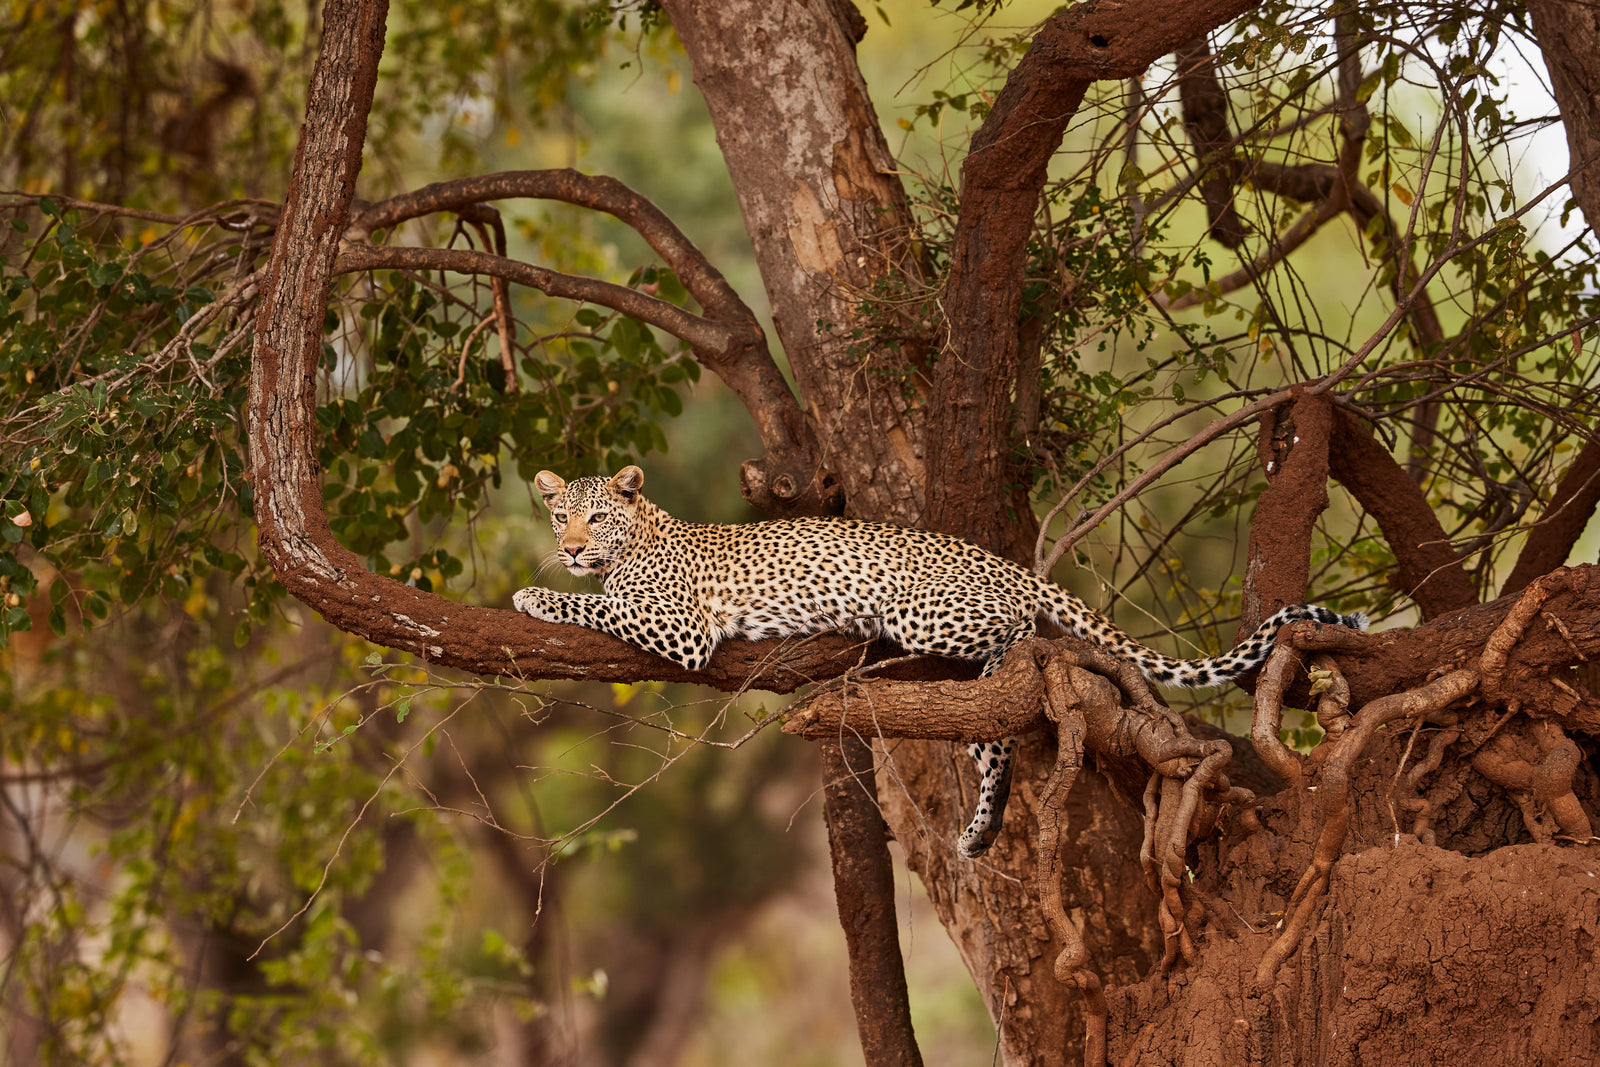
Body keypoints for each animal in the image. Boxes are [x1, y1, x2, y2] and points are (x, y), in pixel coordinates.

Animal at [512, 465, 1369, 858]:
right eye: (559, 515)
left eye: (598, 516)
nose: (572, 547)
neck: (646, 529)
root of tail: (998, 557)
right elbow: (599, 599)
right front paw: (548, 580)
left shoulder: (682, 626)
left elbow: (600, 605)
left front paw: (532, 593)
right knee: (995, 741)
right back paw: (980, 828)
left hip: (919, 610)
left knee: (1015, 635)